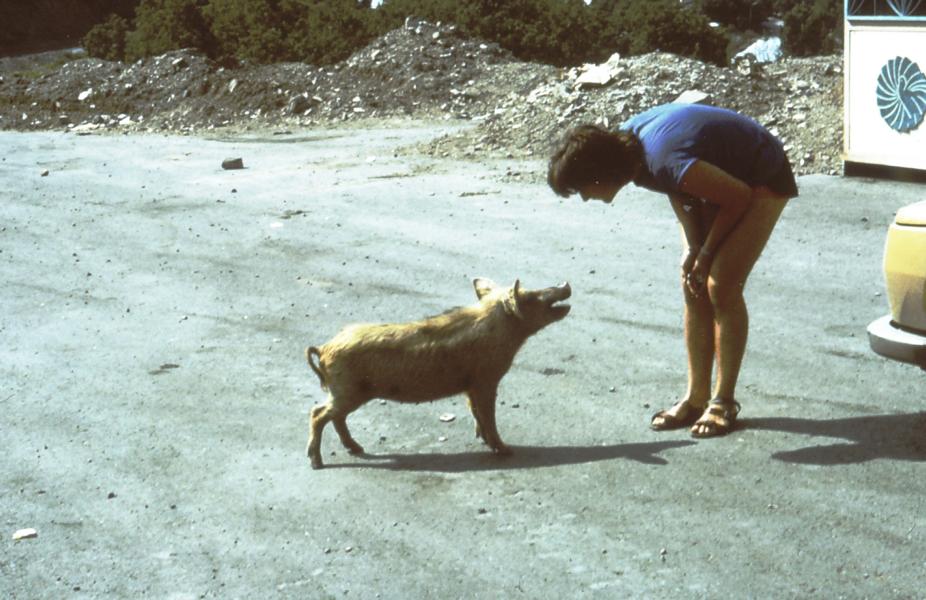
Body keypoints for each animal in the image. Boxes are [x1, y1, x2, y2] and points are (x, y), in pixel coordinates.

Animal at [304, 276, 572, 468]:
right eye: (529, 296)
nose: (565, 284)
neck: (499, 331)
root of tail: (324, 348)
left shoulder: (469, 386)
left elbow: (476, 413)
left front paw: (482, 439)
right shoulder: (485, 380)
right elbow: (488, 415)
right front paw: (506, 450)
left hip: (345, 392)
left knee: (334, 417)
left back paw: (356, 449)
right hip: (347, 391)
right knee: (318, 413)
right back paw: (318, 463)